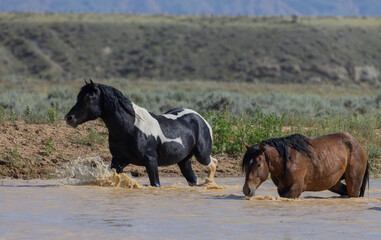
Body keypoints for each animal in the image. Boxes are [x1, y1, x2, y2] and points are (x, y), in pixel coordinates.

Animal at [65, 80, 217, 188]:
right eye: (78, 96)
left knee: (213, 163)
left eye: (89, 98)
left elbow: (155, 184)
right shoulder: (118, 161)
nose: (69, 118)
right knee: (193, 179)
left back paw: (210, 184)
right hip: (184, 161)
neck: (130, 128)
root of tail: (201, 119)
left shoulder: (151, 161)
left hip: (201, 154)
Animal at [240, 132, 368, 198]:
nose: (247, 189)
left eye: (258, 164)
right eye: (245, 165)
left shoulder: (295, 190)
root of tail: (358, 145)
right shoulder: (281, 190)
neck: (285, 161)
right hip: (334, 183)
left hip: (354, 185)